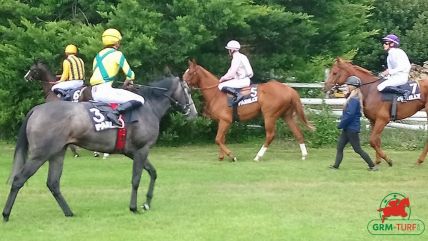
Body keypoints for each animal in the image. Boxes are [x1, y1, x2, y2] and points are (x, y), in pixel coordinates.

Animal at [2, 76, 197, 221]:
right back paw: (5, 214)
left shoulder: (133, 152)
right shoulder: (142, 149)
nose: (194, 113)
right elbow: (136, 179)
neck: (148, 107)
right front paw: (134, 207)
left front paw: (147, 203)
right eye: (187, 90)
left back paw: (69, 212)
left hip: (57, 153)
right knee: (19, 180)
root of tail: (36, 109)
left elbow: (153, 173)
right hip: (40, 154)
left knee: (53, 183)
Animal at [181, 59, 314, 162]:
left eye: (190, 73)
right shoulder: (222, 122)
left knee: (270, 135)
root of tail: (289, 89)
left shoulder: (225, 121)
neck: (216, 93)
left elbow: (218, 139)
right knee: (298, 133)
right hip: (287, 116)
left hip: (269, 116)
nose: (183, 84)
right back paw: (304, 155)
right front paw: (221, 156)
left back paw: (258, 156)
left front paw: (232, 156)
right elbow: (221, 139)